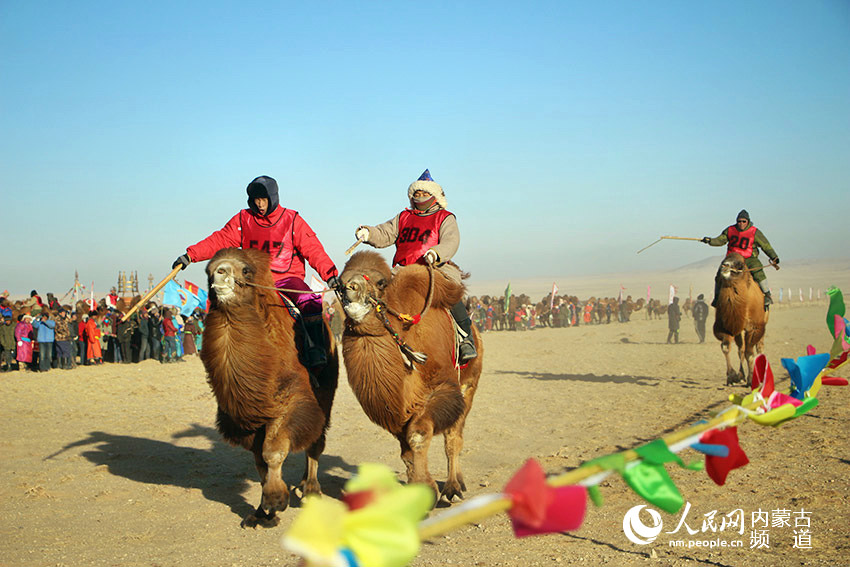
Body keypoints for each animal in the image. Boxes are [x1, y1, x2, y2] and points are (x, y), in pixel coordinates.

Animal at [200, 248, 336, 528]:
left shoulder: (292, 399)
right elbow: (259, 461)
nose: (220, 271)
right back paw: (303, 483)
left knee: (316, 440)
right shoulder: (246, 417)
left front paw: (275, 501)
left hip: (325, 393)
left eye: (245, 270)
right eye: (207, 269)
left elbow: (272, 452)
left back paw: (311, 490)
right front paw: (261, 513)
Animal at [340, 251, 484, 504]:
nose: (350, 286)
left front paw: (427, 490)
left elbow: (418, 435)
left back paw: (453, 488)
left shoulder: (445, 388)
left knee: (453, 438)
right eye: (338, 281)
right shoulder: (399, 409)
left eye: (380, 282)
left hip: (469, 384)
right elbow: (406, 451)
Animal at [712, 252, 764, 386]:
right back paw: (741, 376)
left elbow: (750, 353)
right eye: (723, 261)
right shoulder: (725, 327)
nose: (724, 266)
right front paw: (732, 377)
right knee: (741, 349)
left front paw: (751, 380)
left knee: (759, 348)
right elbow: (726, 347)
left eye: (739, 265)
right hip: (739, 331)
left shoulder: (754, 328)